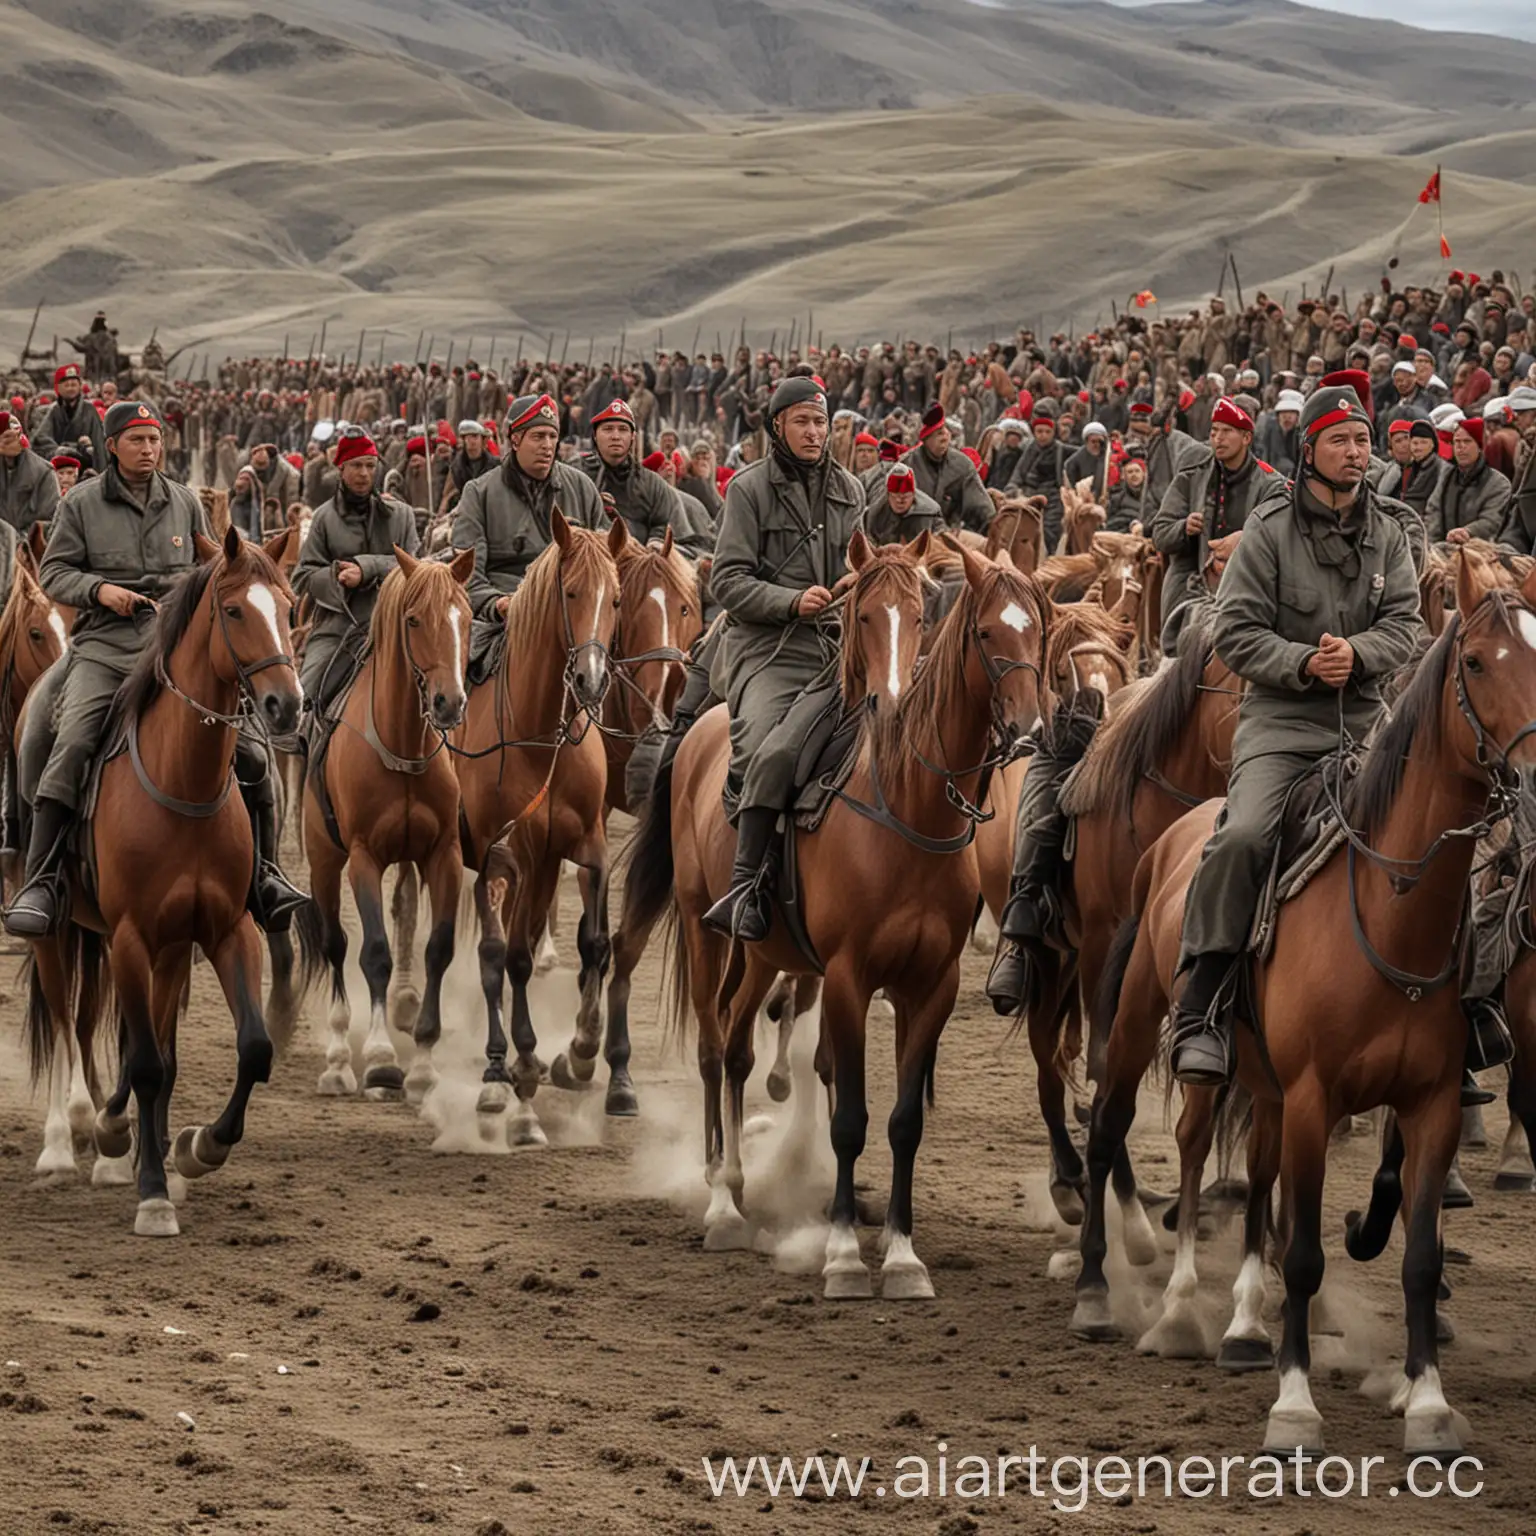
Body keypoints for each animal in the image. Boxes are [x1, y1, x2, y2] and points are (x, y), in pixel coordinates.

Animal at [24, 528, 297, 1234]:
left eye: (289, 609)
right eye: (234, 611)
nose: (287, 705)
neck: (185, 782)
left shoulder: (227, 931)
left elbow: (250, 1049)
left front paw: (196, 1149)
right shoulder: (128, 937)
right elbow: (145, 1064)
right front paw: (150, 1190)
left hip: (170, 949)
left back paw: (127, 1138)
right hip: (58, 934)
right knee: (64, 1024)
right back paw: (66, 1142)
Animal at [293, 552, 473, 1105]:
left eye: (466, 617)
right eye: (414, 620)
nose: (449, 703)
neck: (403, 745)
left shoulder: (443, 856)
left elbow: (438, 949)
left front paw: (424, 1064)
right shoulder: (364, 859)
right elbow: (373, 953)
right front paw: (379, 1059)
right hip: (325, 860)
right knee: (334, 944)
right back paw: (337, 1060)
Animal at [451, 509, 626, 1148]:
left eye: (616, 598)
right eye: (570, 593)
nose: (592, 680)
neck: (538, 734)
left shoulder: (585, 847)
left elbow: (596, 944)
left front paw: (580, 1054)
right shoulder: (507, 856)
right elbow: (513, 958)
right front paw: (523, 1065)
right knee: (489, 954)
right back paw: (492, 1068)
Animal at [629, 534, 1050, 1290]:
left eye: (1036, 628)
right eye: (984, 632)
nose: (1029, 728)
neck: (905, 805)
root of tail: (705, 722)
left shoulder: (930, 987)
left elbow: (904, 1122)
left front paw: (904, 1256)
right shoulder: (851, 978)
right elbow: (849, 1117)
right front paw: (846, 1255)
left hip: (761, 952)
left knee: (737, 1047)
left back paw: (740, 1182)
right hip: (707, 933)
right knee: (711, 1049)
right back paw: (720, 1202)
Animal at [1081, 562, 1536, 1449]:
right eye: (1476, 663)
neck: (1390, 909)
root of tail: (1183, 830)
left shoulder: (1429, 1103)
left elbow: (1417, 1257)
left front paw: (1428, 1402)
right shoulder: (1314, 1097)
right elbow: (1304, 1253)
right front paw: (1294, 1407)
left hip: (1263, 1085)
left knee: (1255, 1177)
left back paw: (1240, 1326)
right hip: (1142, 1030)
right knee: (1129, 1132)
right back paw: (1119, 1295)